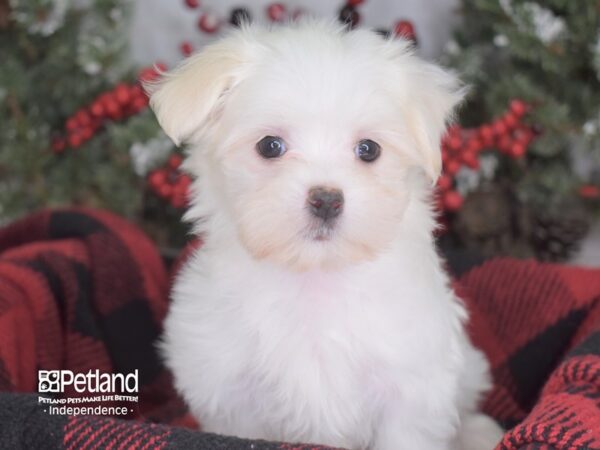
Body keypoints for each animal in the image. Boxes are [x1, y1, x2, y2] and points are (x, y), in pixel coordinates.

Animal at [149, 20, 502, 450]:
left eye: (368, 150)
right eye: (270, 146)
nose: (327, 200)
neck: (315, 278)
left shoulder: (412, 387)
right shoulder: (232, 398)